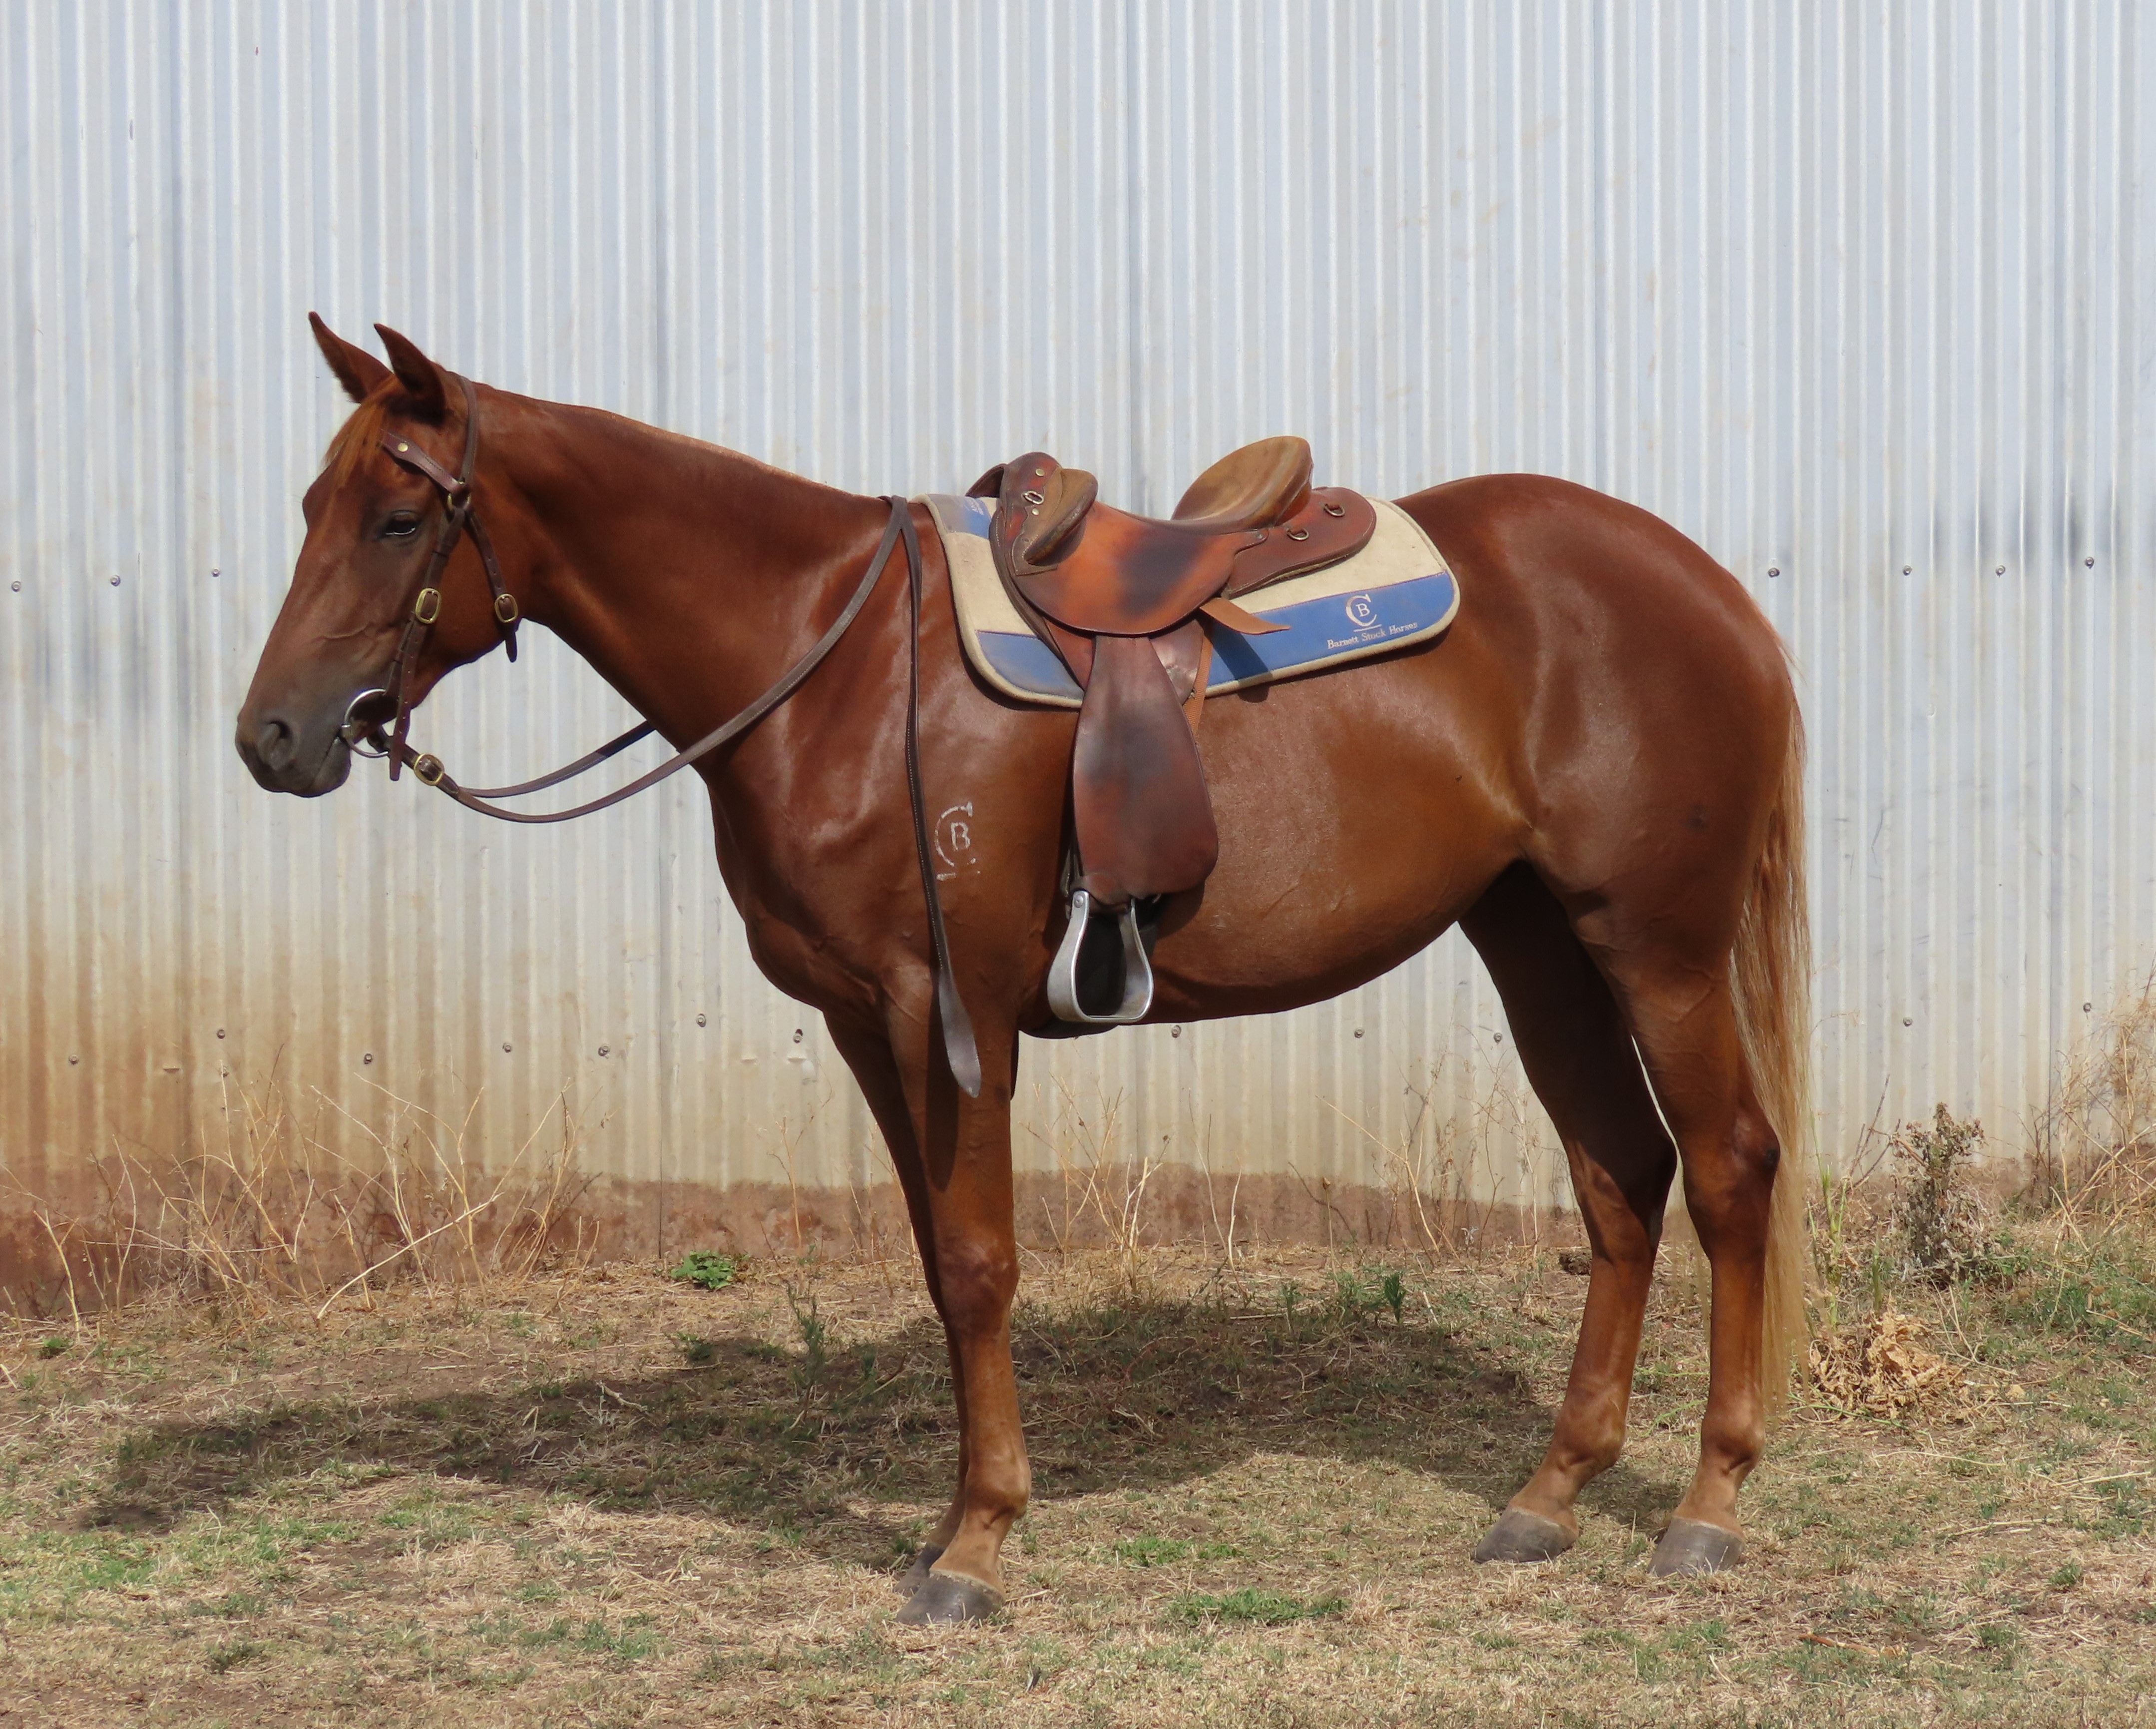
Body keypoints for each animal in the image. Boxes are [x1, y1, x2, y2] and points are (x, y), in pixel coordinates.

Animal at [237, 317, 1812, 1624]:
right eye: (308, 509)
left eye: (397, 518)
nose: (272, 737)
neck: (830, 663)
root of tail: (1705, 586)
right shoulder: (864, 1022)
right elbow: (941, 1265)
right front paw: (960, 1516)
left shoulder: (950, 1006)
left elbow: (983, 1263)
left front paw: (977, 1542)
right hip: (1533, 937)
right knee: (1619, 1176)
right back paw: (1548, 1493)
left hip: (1655, 944)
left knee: (1728, 1168)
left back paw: (1705, 1502)